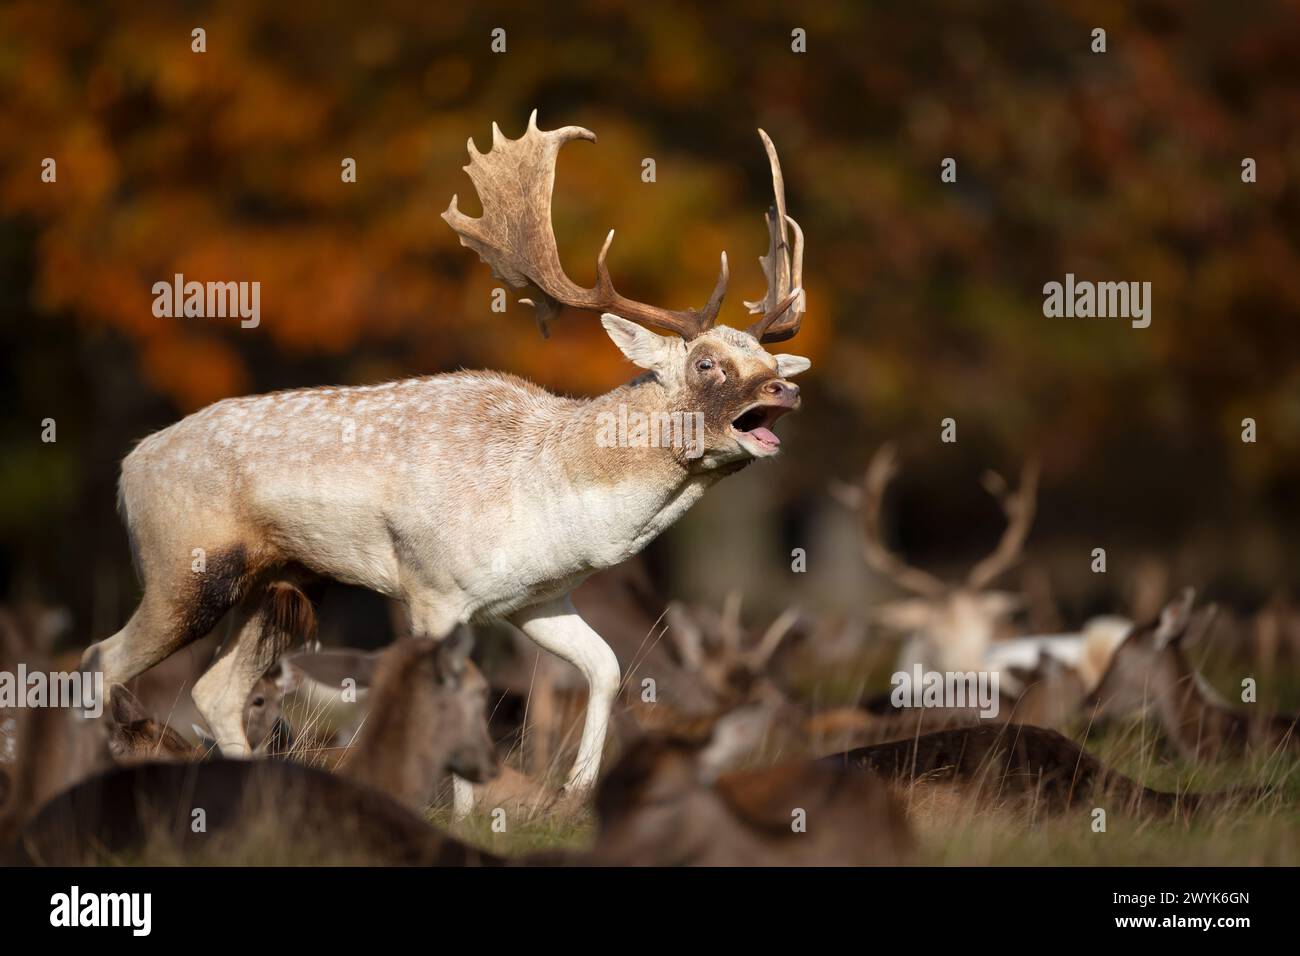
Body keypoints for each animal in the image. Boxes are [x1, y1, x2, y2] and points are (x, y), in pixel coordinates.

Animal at [80, 113, 811, 808]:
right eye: (706, 362)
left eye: (771, 361)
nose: (787, 389)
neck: (548, 493)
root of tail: (128, 467)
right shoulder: (432, 588)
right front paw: (463, 812)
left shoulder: (535, 599)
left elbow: (604, 667)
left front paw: (576, 794)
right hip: (184, 568)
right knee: (102, 660)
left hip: (285, 582)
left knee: (214, 691)